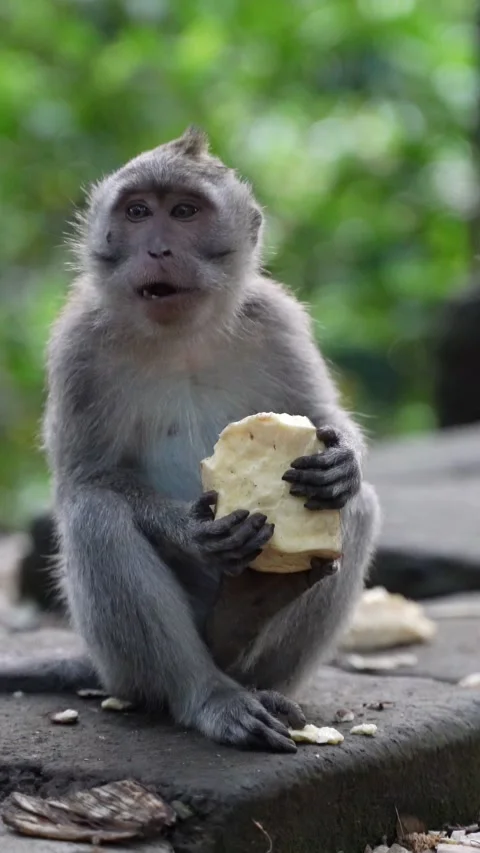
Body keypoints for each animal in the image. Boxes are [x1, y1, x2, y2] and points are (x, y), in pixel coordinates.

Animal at [0, 127, 380, 753]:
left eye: (183, 212)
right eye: (136, 213)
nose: (157, 249)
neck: (181, 335)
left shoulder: (276, 320)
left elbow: (322, 418)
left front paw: (340, 463)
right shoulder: (79, 344)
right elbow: (88, 476)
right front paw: (194, 530)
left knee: (358, 508)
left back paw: (254, 640)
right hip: (124, 668)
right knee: (95, 514)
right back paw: (210, 694)